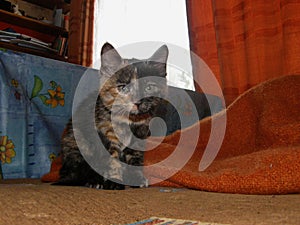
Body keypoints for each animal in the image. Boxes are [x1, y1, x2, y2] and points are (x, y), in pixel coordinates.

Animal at [55, 42, 169, 190]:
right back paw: (93, 181)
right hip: (77, 141)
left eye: (148, 88)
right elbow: (112, 160)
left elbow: (135, 158)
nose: (138, 102)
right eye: (123, 88)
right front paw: (114, 181)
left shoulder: (139, 135)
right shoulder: (106, 135)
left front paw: (136, 178)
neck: (128, 121)